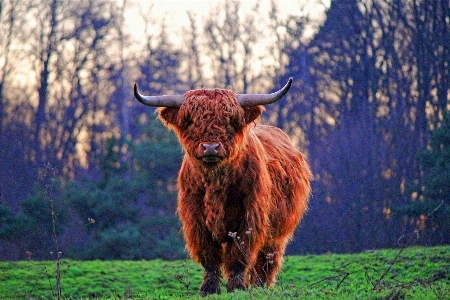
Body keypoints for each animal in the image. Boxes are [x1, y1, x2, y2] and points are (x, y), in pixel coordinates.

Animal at [134, 78, 310, 296]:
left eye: (229, 121)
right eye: (192, 121)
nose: (210, 147)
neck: (215, 185)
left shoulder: (249, 219)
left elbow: (238, 257)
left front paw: (237, 287)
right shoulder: (197, 220)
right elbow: (209, 257)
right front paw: (209, 289)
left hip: (278, 230)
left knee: (267, 259)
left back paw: (261, 287)